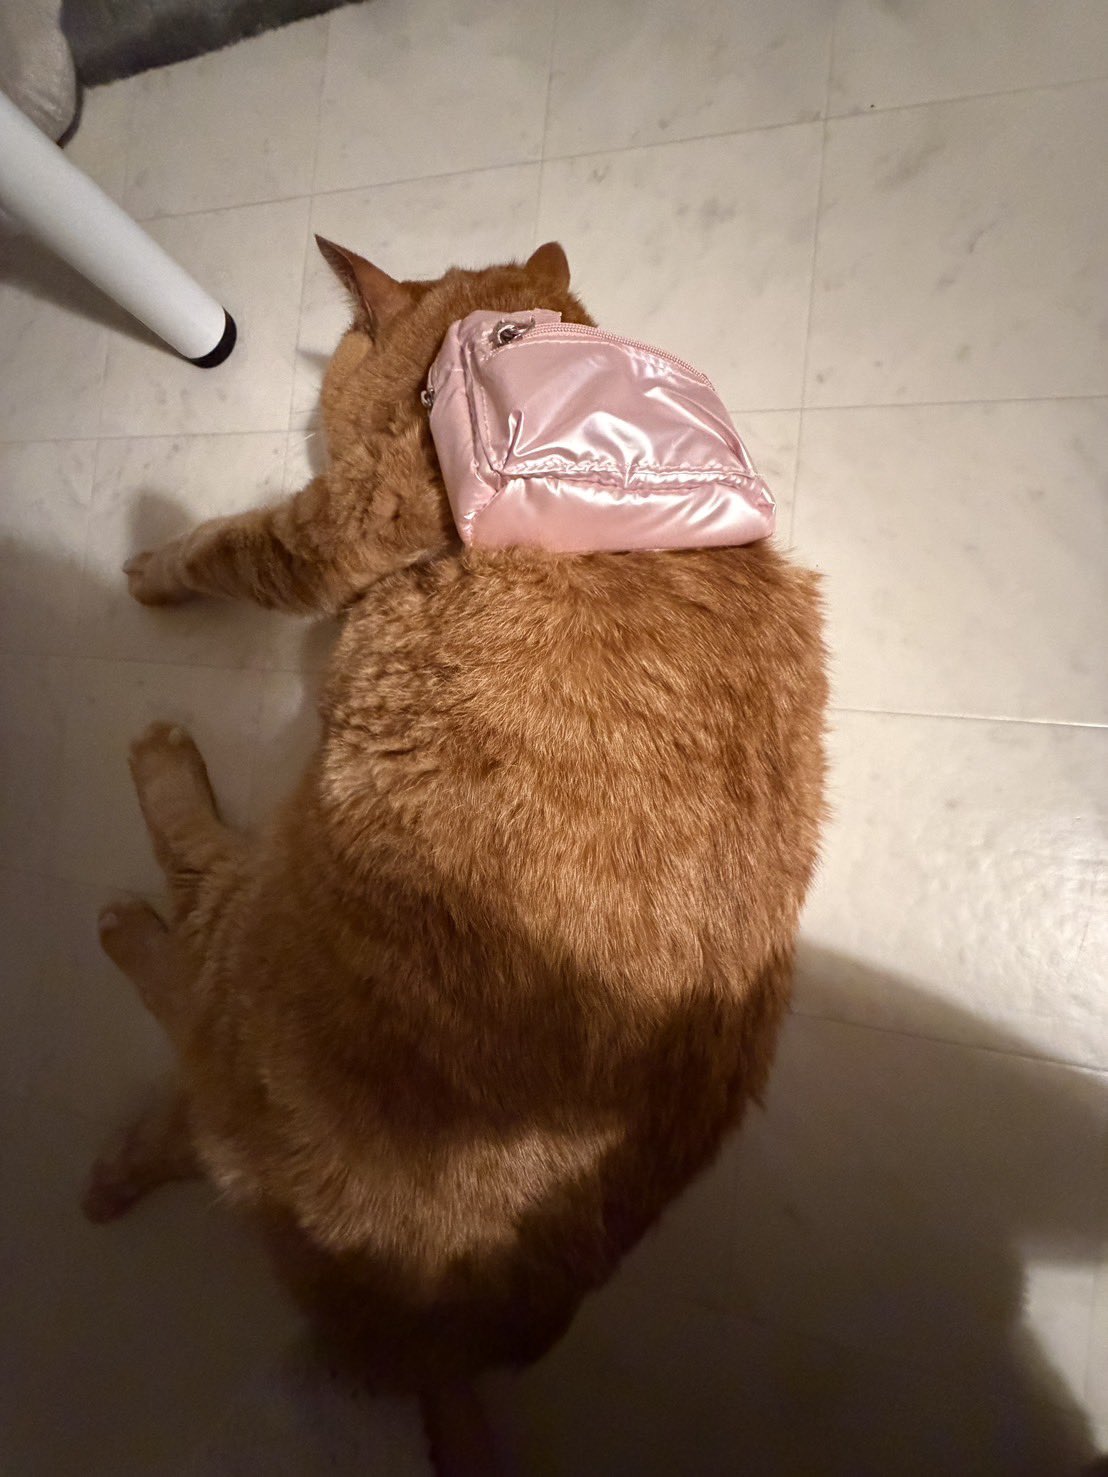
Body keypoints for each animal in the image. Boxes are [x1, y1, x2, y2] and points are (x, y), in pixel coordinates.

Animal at [85, 239, 828, 1471]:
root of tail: (434, 1341)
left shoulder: (333, 530)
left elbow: (220, 541)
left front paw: (150, 566)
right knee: (192, 1111)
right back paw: (119, 1165)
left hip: (256, 933)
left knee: (187, 955)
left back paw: (144, 833)